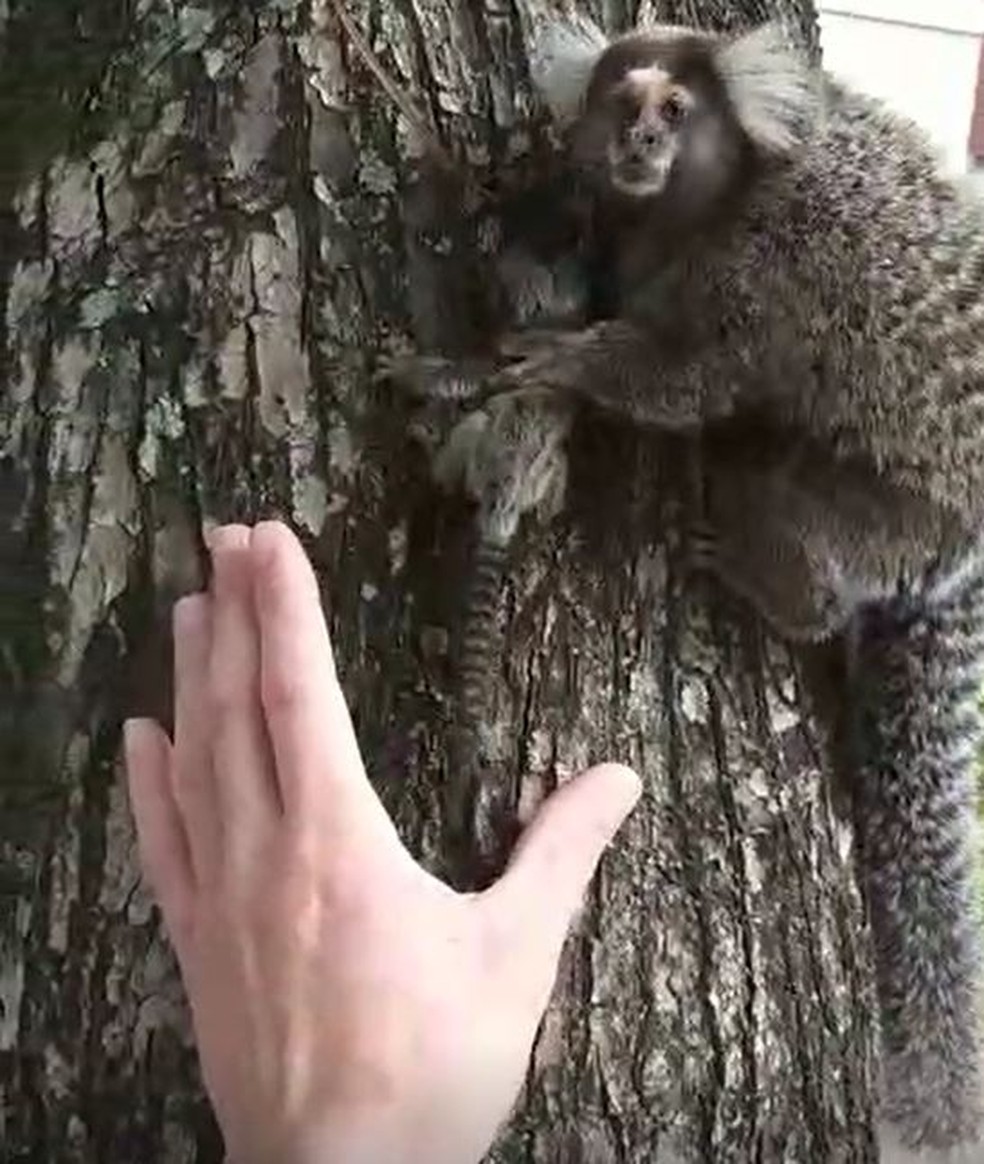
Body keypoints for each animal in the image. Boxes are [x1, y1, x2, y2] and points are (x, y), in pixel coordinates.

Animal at [386, 15, 984, 1154]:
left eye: (675, 111)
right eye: (625, 104)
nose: (640, 144)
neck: (704, 205)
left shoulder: (760, 273)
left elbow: (686, 380)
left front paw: (567, 359)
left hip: (900, 515)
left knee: (783, 502)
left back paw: (779, 578)